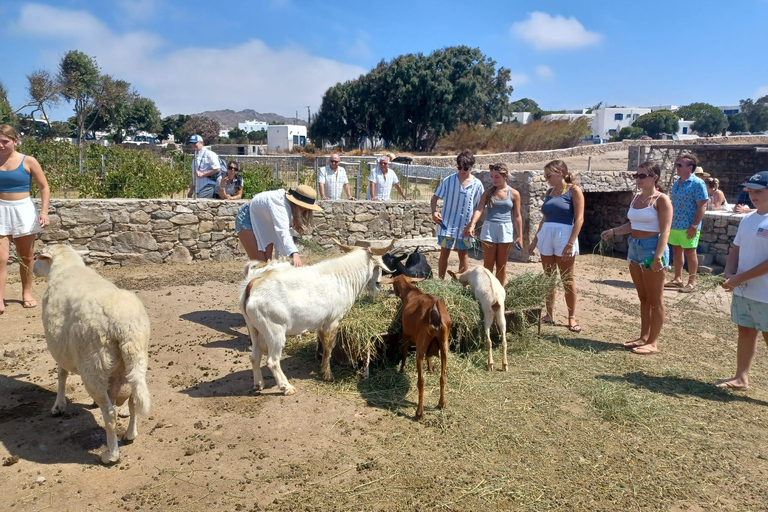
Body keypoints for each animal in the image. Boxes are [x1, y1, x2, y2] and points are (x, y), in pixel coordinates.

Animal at [33, 244, 151, 464]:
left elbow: (61, 374)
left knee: (110, 415)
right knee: (132, 401)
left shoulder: (60, 348)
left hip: (94, 366)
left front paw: (58, 406)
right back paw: (130, 434)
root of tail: (125, 327)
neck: (67, 265)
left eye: (38, 256)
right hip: (135, 360)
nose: (33, 268)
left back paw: (110, 454)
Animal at [240, 238, 396, 394]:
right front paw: (328, 375)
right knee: (272, 361)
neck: (341, 278)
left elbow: (323, 344)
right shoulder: (333, 320)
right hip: (274, 330)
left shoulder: (321, 322)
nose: (377, 287)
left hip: (255, 329)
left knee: (255, 357)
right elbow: (329, 347)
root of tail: (253, 285)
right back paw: (287, 387)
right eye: (378, 268)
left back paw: (259, 384)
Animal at [390, 276, 450, 420]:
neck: (412, 292)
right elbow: (429, 357)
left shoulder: (405, 334)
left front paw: (402, 369)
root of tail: (435, 311)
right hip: (444, 344)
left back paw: (419, 413)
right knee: (443, 376)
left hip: (420, 346)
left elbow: (404, 352)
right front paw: (431, 369)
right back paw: (441, 403)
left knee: (421, 381)